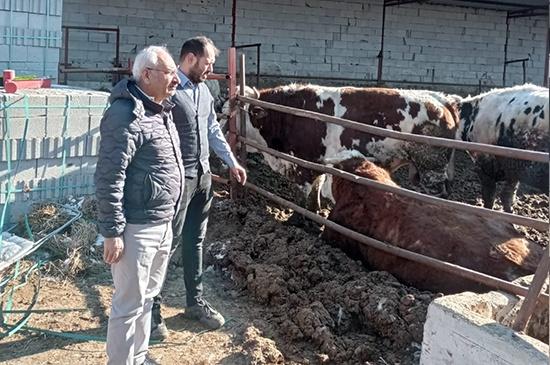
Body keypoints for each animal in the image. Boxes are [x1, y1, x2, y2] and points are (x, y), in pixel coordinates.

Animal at [224, 82, 462, 208]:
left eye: (228, 114)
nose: (225, 135)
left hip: (432, 169)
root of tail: (442, 100)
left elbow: (304, 195)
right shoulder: (318, 163)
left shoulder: (303, 165)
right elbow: (316, 192)